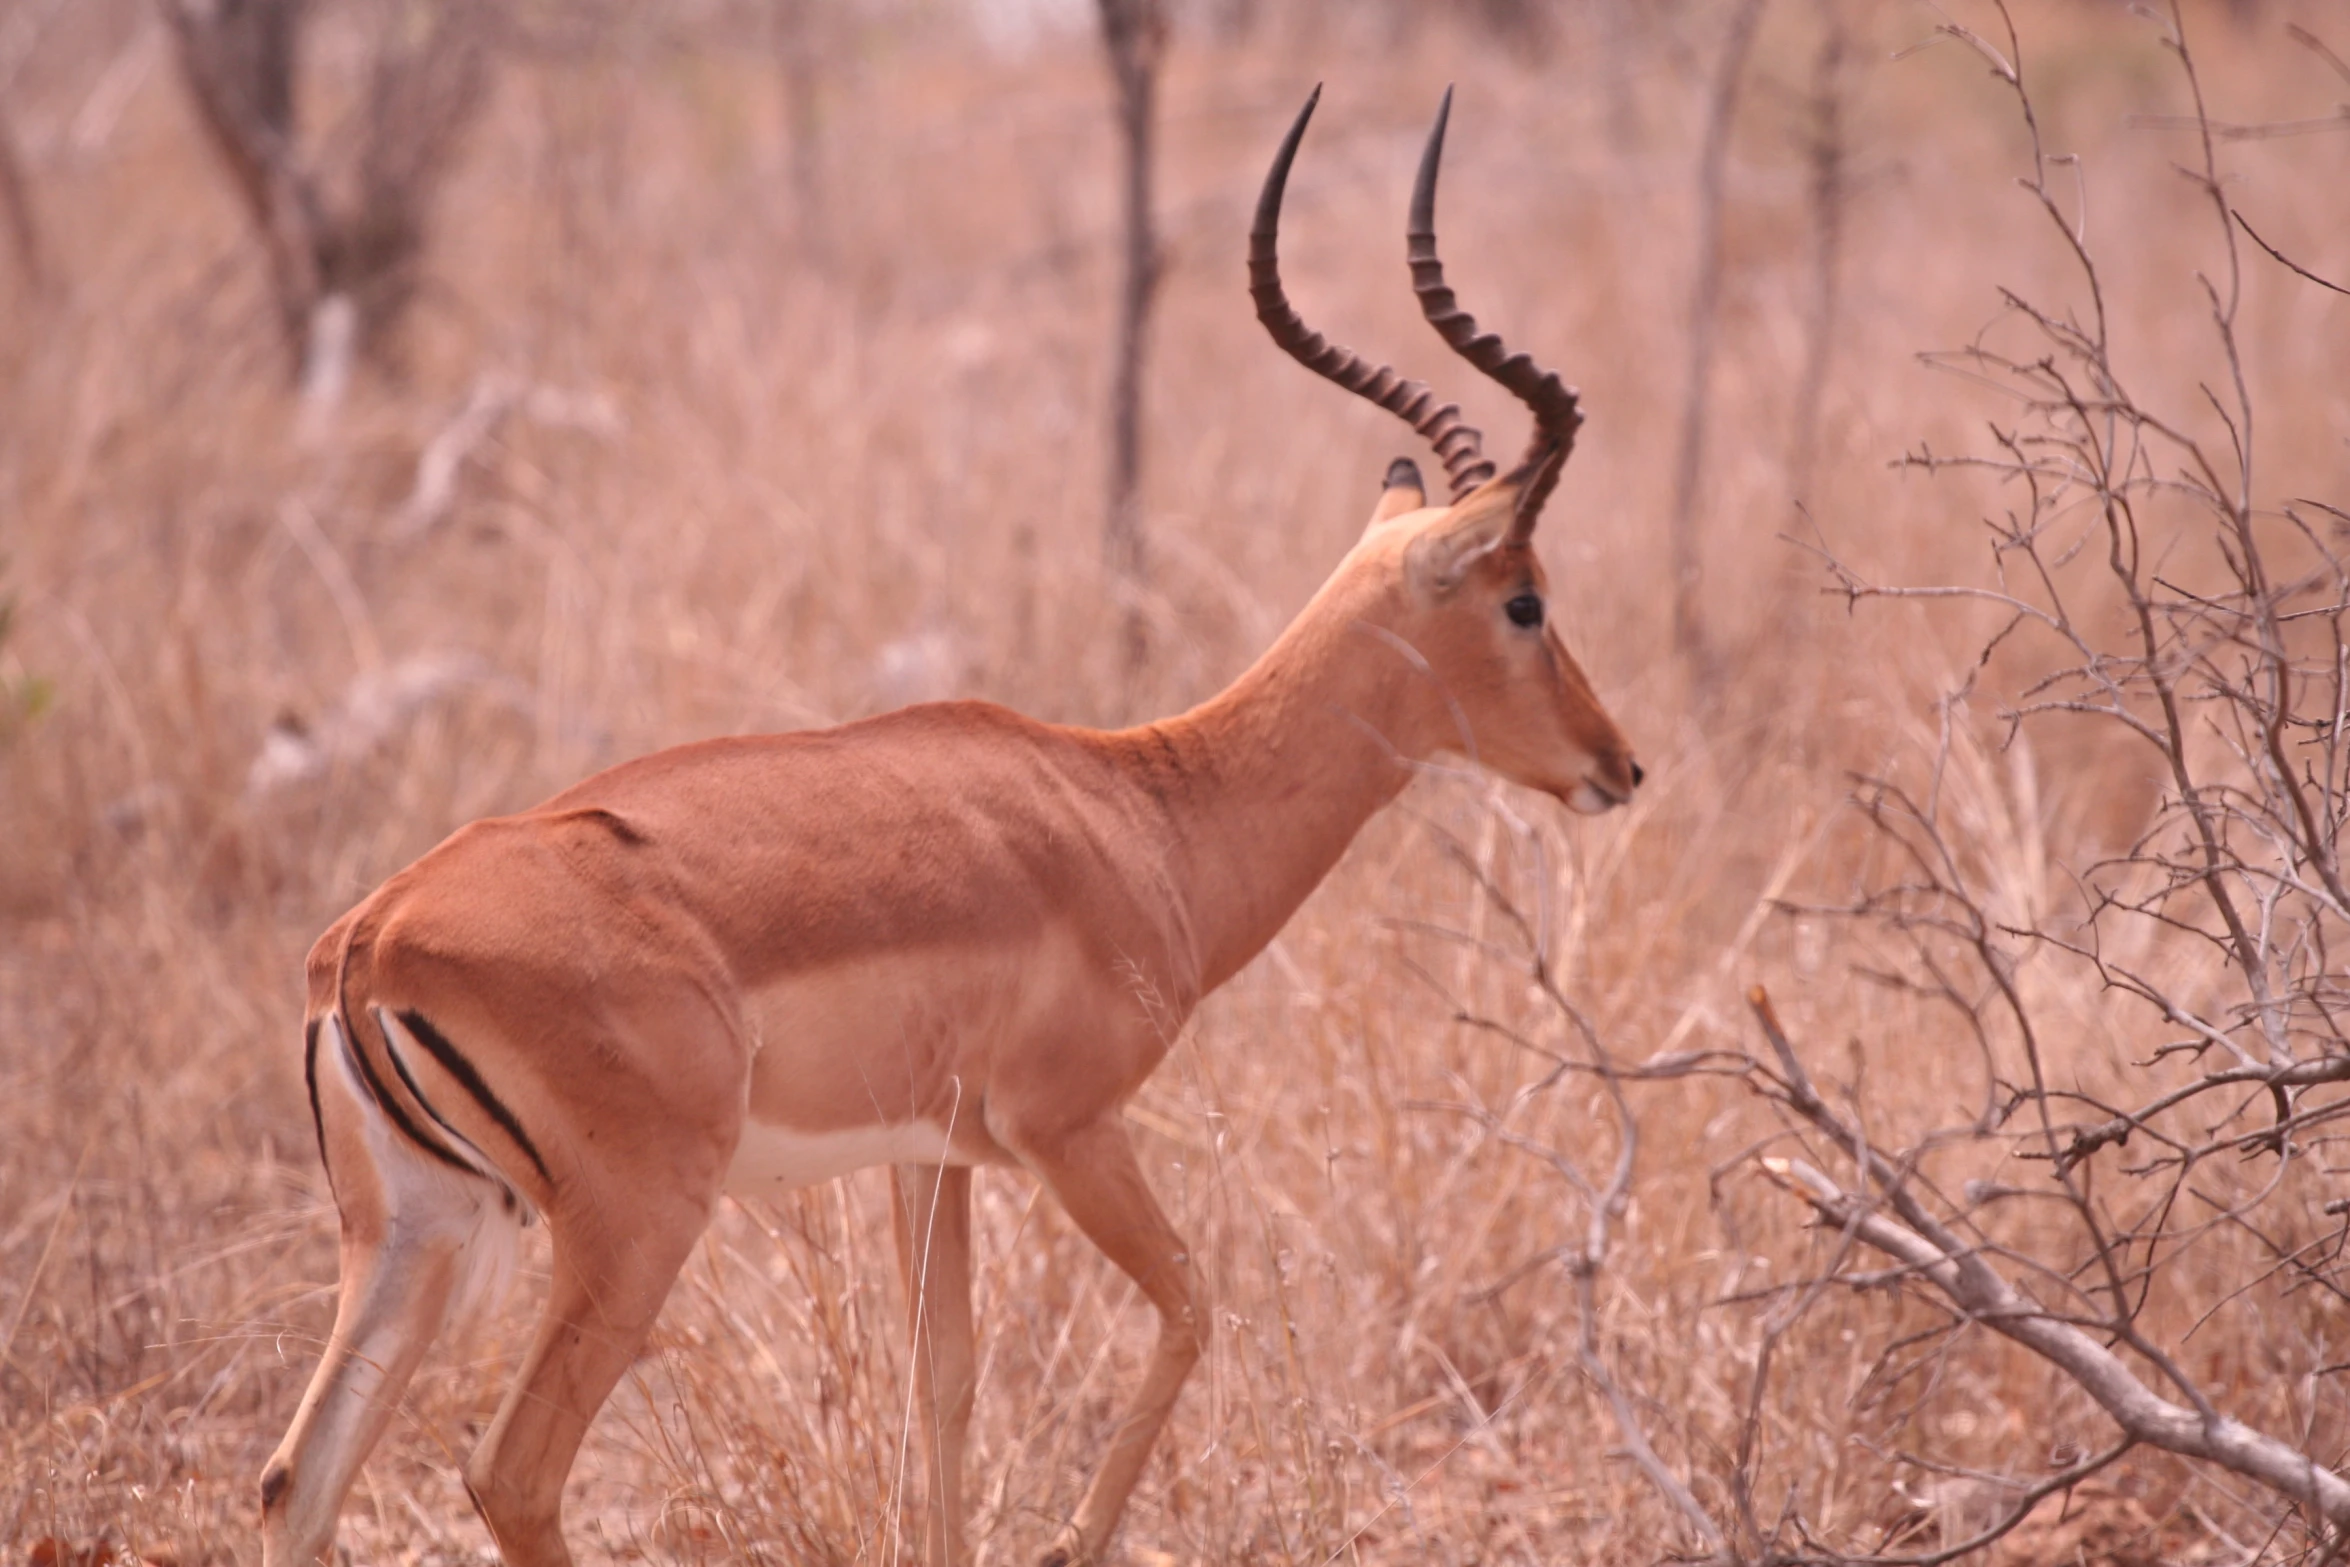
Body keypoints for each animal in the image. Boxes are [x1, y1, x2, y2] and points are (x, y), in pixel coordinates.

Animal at [262, 82, 1635, 1567]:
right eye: (1523, 598)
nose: (1618, 764)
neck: (1141, 812)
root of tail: (371, 940)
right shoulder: (1068, 1129)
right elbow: (1192, 1302)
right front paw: (1070, 1540)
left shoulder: (929, 1160)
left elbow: (948, 1382)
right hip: (630, 1224)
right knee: (510, 1471)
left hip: (417, 1227)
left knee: (298, 1474)